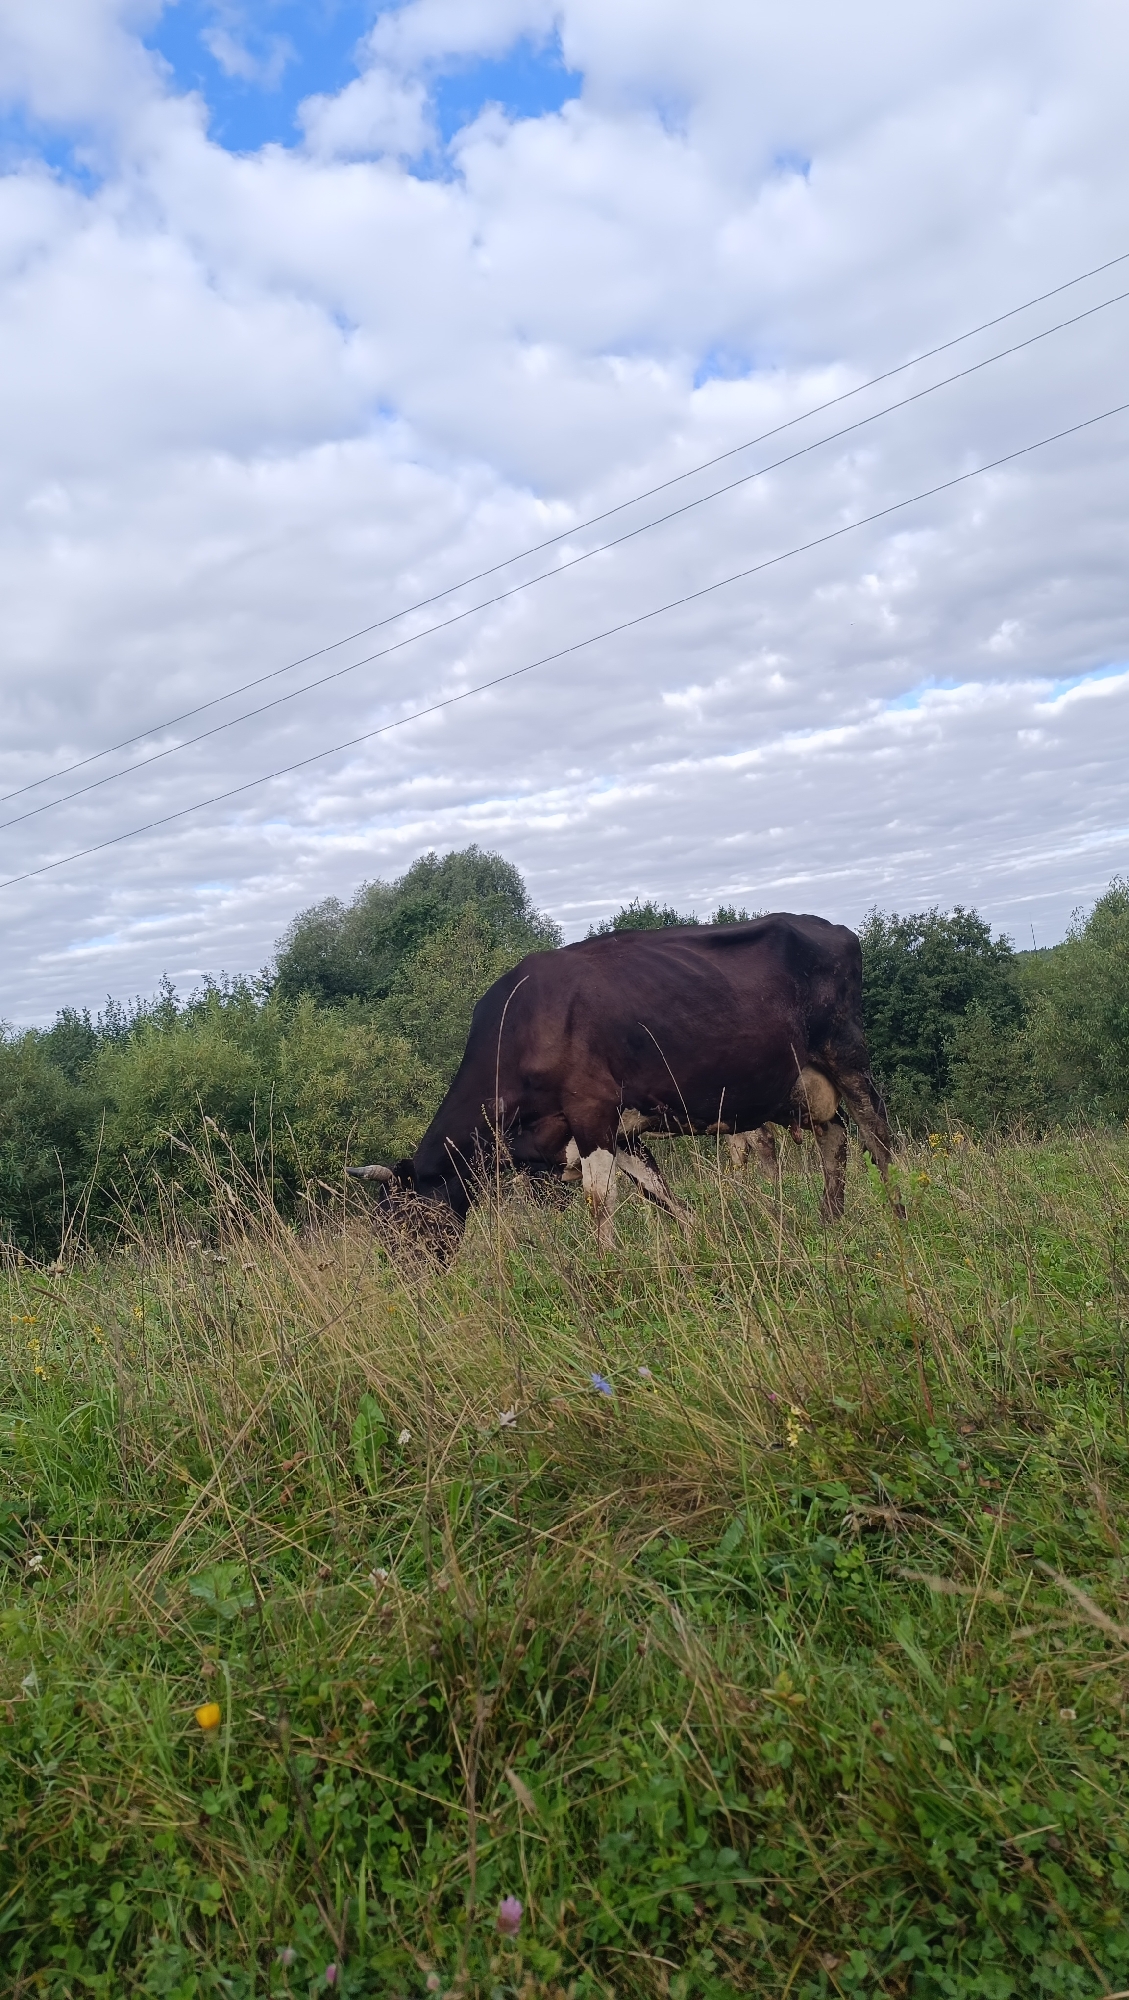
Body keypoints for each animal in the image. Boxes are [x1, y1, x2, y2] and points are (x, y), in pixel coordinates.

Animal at [348, 913, 895, 1249]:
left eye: (400, 1224)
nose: (406, 1284)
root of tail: (832, 927)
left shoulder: (592, 1111)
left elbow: (599, 1200)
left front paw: (608, 1267)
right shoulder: (623, 1132)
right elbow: (663, 1195)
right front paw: (698, 1241)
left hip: (847, 1053)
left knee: (878, 1137)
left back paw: (899, 1217)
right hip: (806, 1087)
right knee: (835, 1141)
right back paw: (831, 1223)